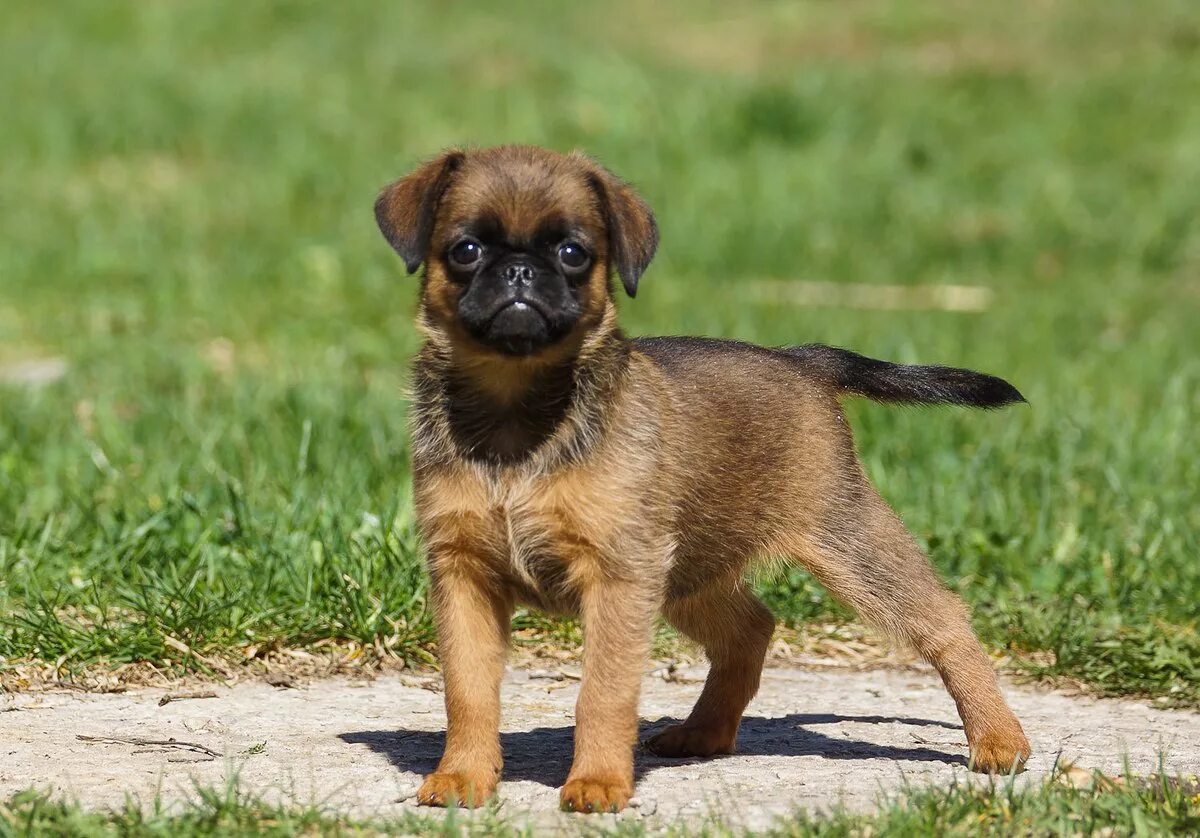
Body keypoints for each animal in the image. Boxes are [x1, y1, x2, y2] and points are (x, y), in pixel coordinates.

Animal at [374, 143, 1032, 811]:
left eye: (573, 253)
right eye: (465, 250)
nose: (519, 272)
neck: (516, 420)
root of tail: (801, 361)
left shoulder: (618, 579)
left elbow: (602, 692)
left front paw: (597, 782)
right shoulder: (464, 576)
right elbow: (468, 691)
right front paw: (463, 775)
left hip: (846, 539)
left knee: (944, 621)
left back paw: (999, 739)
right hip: (690, 568)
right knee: (750, 630)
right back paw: (705, 732)